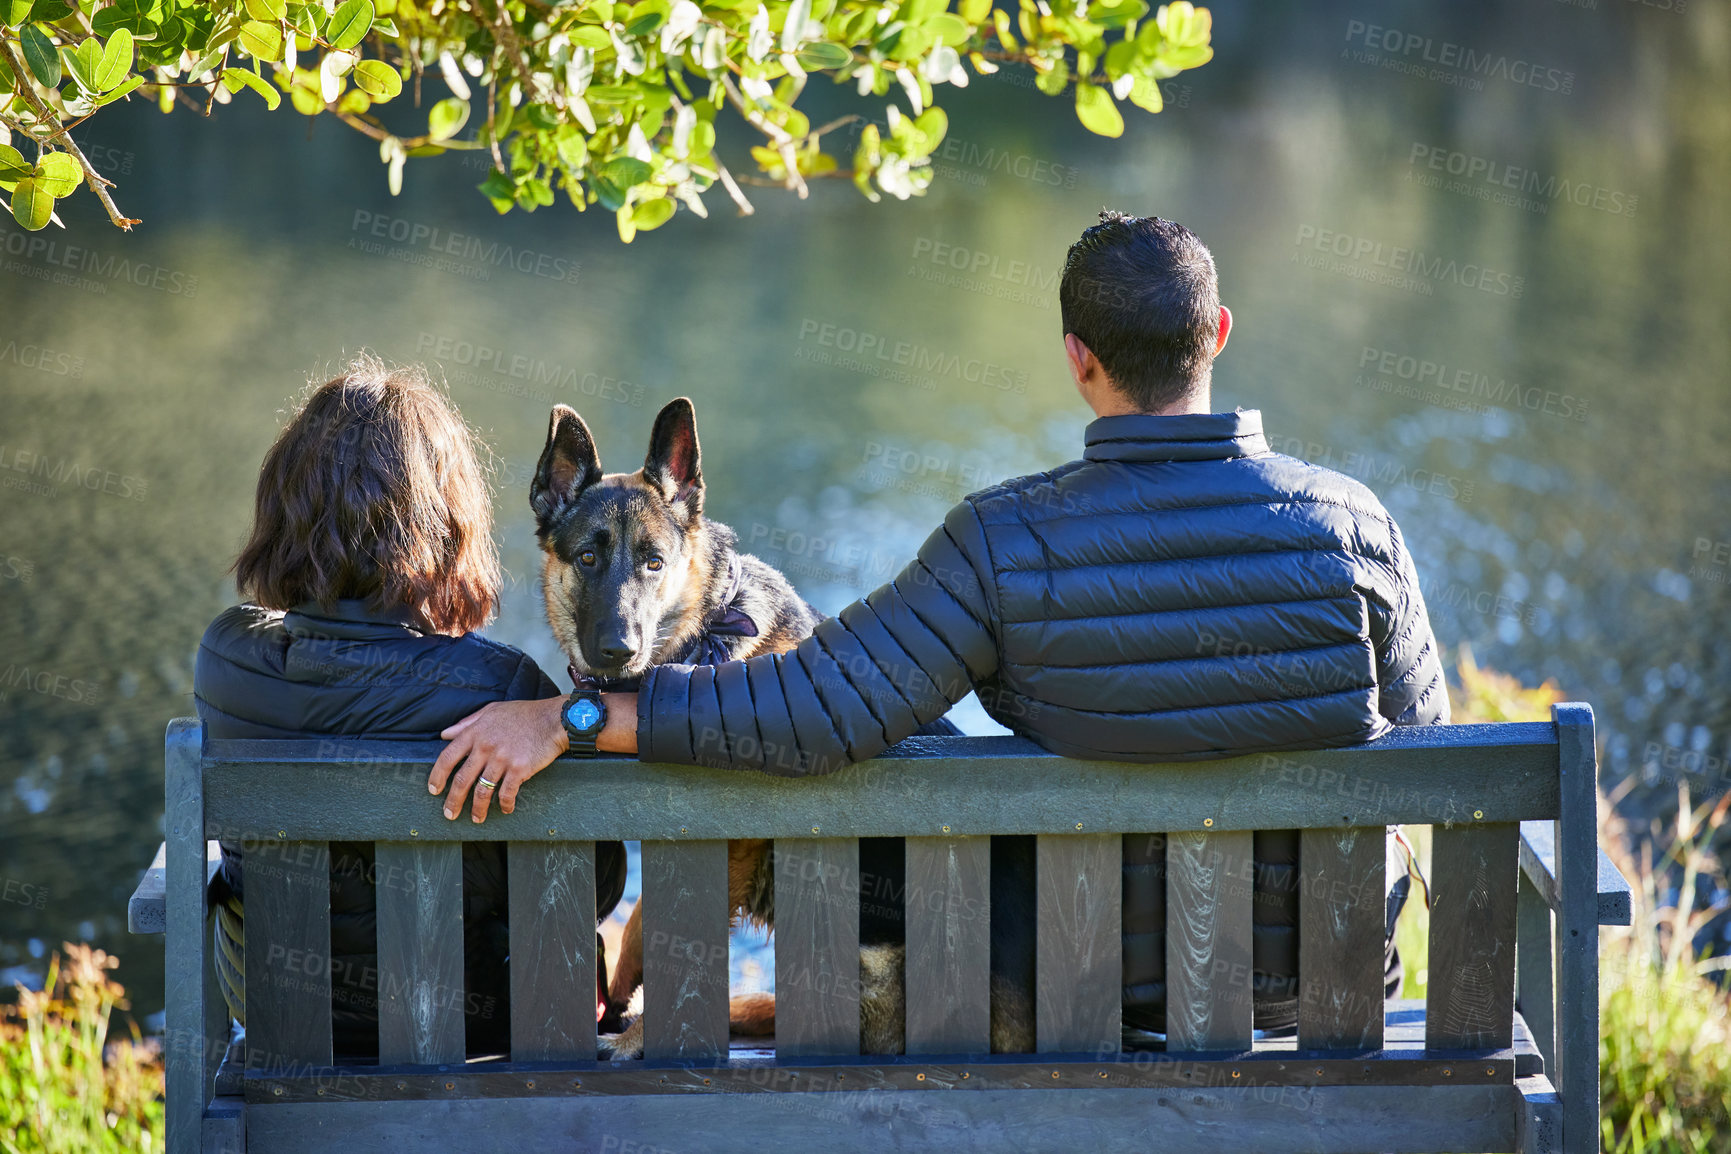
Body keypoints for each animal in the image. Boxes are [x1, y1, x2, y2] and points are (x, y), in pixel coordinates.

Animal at [526, 401, 1031, 1058]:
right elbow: (640, 928)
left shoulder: (729, 850)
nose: (619, 650)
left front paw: (636, 1033)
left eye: (653, 563)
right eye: (587, 558)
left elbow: (673, 941)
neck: (708, 625)